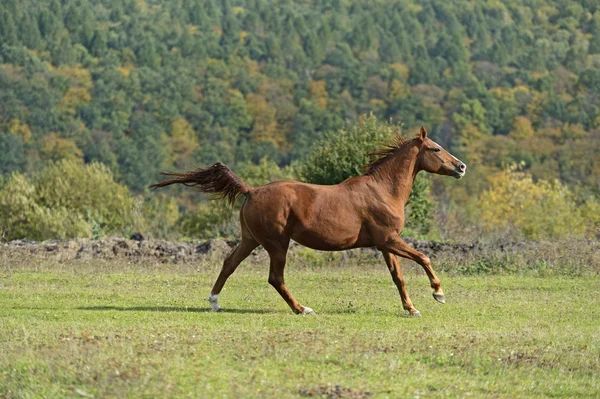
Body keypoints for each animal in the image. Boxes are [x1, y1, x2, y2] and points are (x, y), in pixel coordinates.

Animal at [149, 126, 464, 318]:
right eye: (435, 149)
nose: (461, 166)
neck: (383, 190)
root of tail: (251, 191)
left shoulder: (385, 244)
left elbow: (398, 277)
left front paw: (411, 309)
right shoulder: (389, 239)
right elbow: (423, 257)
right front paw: (438, 293)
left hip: (250, 240)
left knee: (229, 264)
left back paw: (214, 302)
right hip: (277, 243)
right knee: (275, 278)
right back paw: (302, 309)